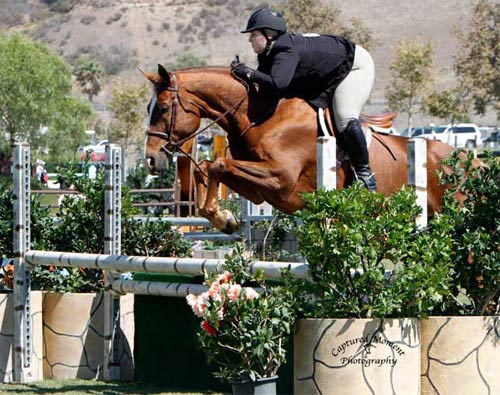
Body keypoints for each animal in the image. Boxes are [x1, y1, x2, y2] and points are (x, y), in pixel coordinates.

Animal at [144, 64, 454, 232]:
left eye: (162, 108)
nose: (150, 159)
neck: (262, 115)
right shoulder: (258, 191)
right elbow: (208, 168)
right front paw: (224, 219)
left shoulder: (280, 179)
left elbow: (217, 164)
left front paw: (221, 216)